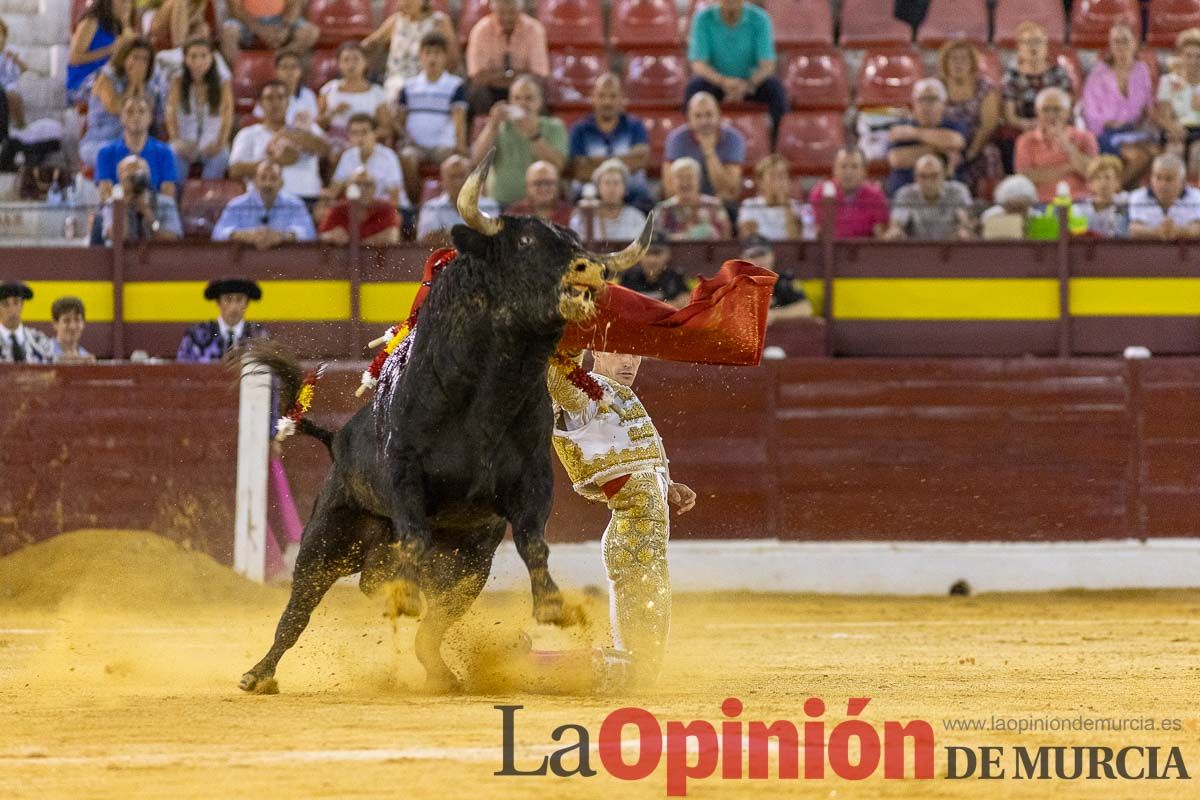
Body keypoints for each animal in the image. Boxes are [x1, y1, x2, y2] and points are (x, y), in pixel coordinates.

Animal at [232, 158, 648, 695]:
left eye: (575, 239)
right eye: (525, 241)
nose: (590, 270)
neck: (490, 394)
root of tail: (336, 441)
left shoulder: (533, 478)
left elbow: (533, 539)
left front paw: (554, 605)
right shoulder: (405, 469)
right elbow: (413, 530)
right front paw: (406, 594)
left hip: (468, 567)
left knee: (427, 628)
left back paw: (443, 674)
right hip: (326, 541)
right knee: (297, 611)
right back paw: (259, 673)